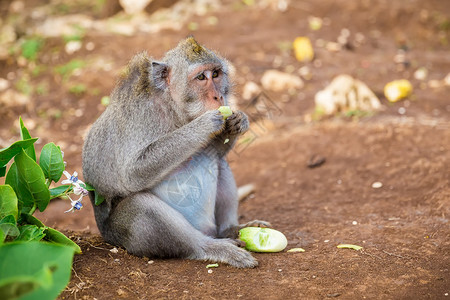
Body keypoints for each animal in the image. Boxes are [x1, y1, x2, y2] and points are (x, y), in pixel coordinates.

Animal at [82, 36, 268, 268]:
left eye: (216, 74)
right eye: (201, 77)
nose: (218, 97)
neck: (172, 106)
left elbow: (214, 154)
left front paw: (239, 121)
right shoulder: (141, 114)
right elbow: (132, 174)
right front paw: (205, 124)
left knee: (219, 163)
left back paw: (231, 230)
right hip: (122, 233)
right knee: (141, 207)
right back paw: (213, 247)